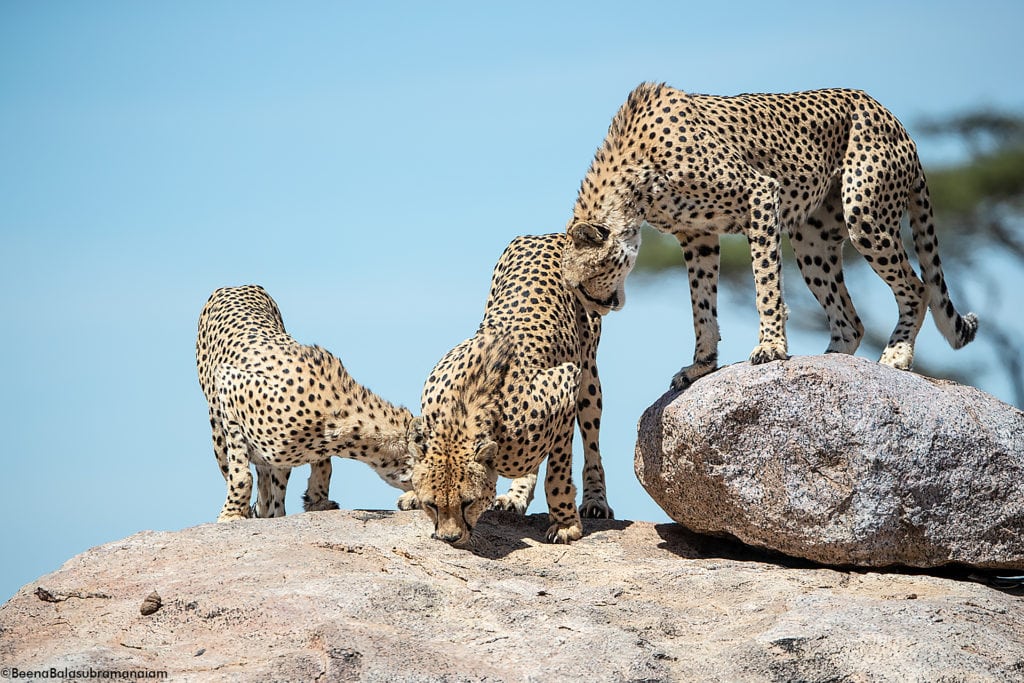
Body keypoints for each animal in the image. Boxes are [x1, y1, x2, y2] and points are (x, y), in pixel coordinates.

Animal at [193, 286, 417, 520]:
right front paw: (232, 514)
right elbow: (241, 474)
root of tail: (238, 285)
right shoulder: (229, 387)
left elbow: (321, 466)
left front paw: (317, 500)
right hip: (217, 430)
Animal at [407, 232, 614, 548]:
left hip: (589, 374)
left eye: (468, 502)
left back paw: (595, 500)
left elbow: (557, 471)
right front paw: (409, 492)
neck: (463, 410)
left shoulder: (567, 382)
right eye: (432, 505)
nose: (450, 538)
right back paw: (516, 497)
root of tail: (550, 234)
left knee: (591, 444)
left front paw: (565, 524)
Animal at [565, 80, 978, 389]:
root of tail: (887, 112)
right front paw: (702, 365)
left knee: (918, 287)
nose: (600, 310)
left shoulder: (760, 194)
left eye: (583, 282)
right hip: (812, 243)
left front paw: (771, 347)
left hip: (864, 216)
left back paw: (896, 353)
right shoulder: (698, 236)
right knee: (851, 321)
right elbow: (701, 305)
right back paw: (829, 364)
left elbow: (765, 284)